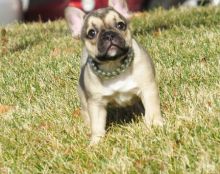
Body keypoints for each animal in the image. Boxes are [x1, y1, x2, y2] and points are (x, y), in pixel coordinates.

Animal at [65, 0, 163, 145]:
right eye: (91, 33)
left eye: (120, 25)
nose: (109, 35)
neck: (113, 66)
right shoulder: (96, 103)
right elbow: (97, 124)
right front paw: (96, 142)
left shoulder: (148, 89)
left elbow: (152, 109)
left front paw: (155, 125)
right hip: (84, 99)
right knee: (87, 115)